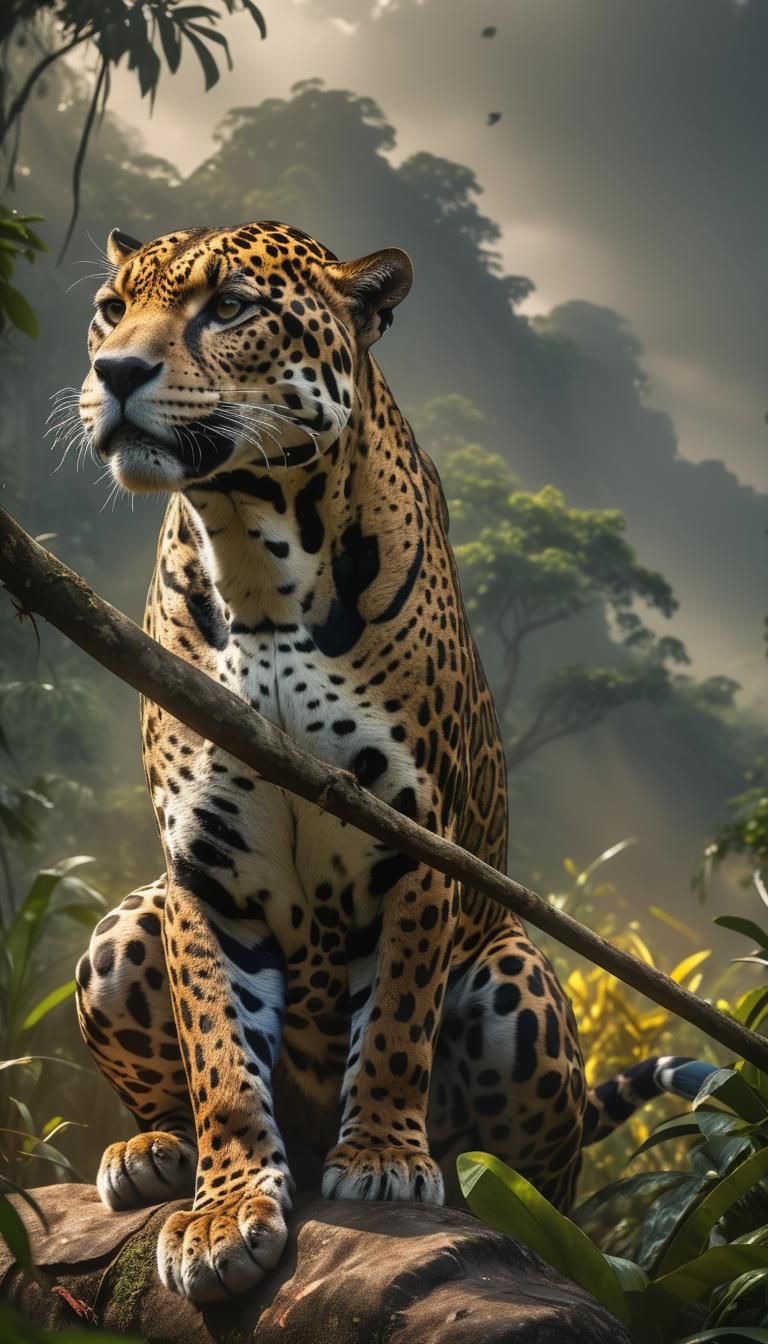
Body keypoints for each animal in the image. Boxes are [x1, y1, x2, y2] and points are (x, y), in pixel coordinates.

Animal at [74, 220, 708, 1303]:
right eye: (112, 310)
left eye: (228, 308)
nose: (114, 371)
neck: (254, 553)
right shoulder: (203, 870)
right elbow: (221, 1059)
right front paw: (224, 1210)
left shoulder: (413, 834)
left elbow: (399, 1018)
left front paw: (378, 1158)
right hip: (125, 922)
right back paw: (151, 1151)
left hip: (516, 982)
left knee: (550, 1185)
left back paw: (499, 1205)